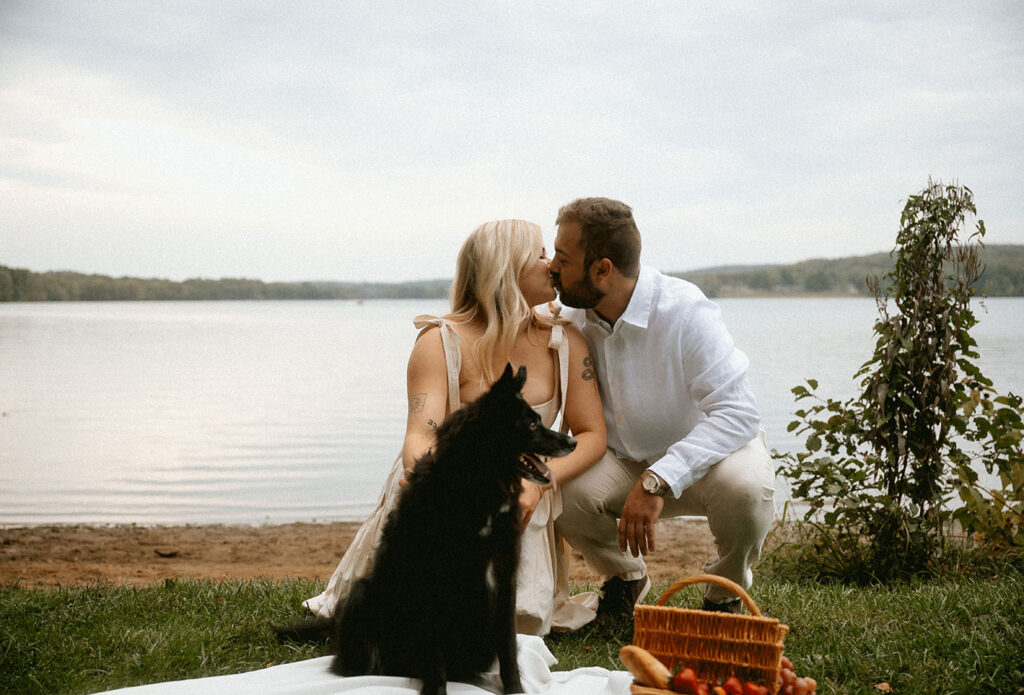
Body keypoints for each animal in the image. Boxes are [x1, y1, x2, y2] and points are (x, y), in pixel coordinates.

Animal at [333, 364, 577, 695]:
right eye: (530, 425)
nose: (573, 443)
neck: (479, 487)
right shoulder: (429, 584)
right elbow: (434, 657)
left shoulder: (504, 577)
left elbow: (508, 648)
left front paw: (514, 689)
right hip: (362, 596)